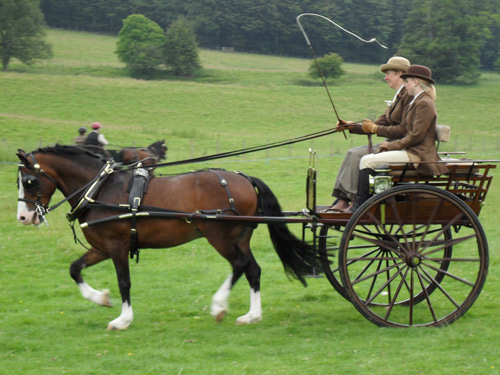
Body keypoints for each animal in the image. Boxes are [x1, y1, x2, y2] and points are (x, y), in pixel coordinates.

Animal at [16, 145, 320, 330]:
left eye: (29, 181)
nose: (23, 218)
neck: (100, 189)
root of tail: (245, 178)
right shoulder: (101, 247)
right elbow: (75, 269)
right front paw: (101, 298)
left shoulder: (117, 247)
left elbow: (124, 282)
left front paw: (123, 319)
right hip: (238, 237)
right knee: (252, 269)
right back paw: (252, 315)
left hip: (219, 236)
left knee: (240, 265)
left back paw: (219, 306)